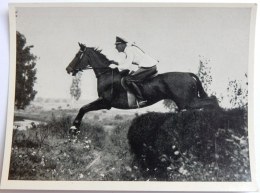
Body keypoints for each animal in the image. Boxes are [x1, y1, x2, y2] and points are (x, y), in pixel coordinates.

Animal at [66, 42, 218, 133]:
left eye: (77, 55)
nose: (68, 69)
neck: (106, 74)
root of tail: (188, 74)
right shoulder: (104, 102)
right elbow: (83, 108)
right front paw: (75, 127)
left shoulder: (105, 102)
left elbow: (83, 108)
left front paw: (74, 128)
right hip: (186, 102)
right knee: (211, 101)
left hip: (188, 101)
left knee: (213, 100)